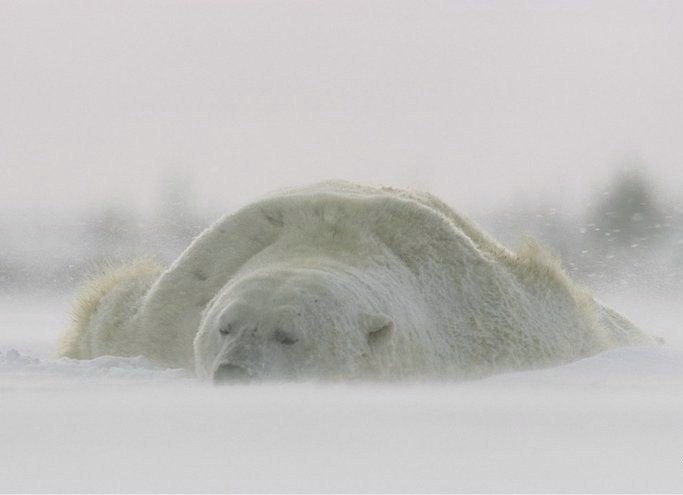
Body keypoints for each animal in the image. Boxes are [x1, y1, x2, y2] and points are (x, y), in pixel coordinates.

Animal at [58, 181, 652, 380]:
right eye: (224, 327)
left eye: (288, 335)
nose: (234, 375)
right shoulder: (164, 311)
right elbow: (106, 313)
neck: (329, 238)